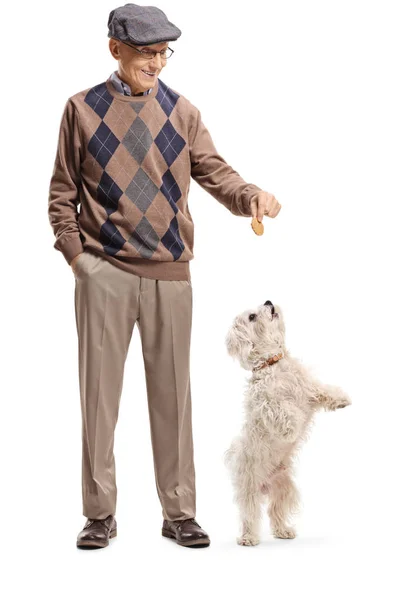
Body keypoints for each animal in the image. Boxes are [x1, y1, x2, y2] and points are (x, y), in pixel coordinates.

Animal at [223, 298, 352, 548]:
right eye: (251, 317)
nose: (268, 301)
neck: (273, 364)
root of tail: (264, 486)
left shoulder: (308, 390)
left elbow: (323, 391)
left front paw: (342, 399)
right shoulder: (265, 403)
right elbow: (281, 410)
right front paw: (292, 426)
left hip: (284, 488)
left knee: (275, 511)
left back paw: (284, 531)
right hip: (249, 490)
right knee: (250, 515)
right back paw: (248, 538)